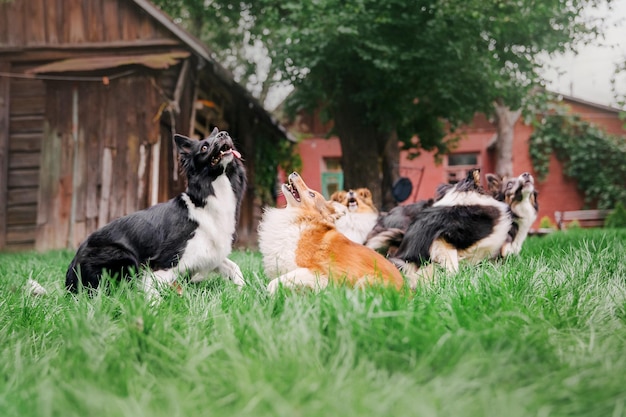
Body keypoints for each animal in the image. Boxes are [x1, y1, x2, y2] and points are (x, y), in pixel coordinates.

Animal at [65, 127, 246, 300]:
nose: (224, 134)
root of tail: (69, 281)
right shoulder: (161, 264)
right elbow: (151, 291)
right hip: (122, 255)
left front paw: (243, 292)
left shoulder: (210, 256)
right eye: (204, 147)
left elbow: (235, 267)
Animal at [256, 172, 402, 292]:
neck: (301, 219)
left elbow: (273, 283)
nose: (294, 173)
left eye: (312, 194)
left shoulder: (315, 271)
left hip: (364, 281)